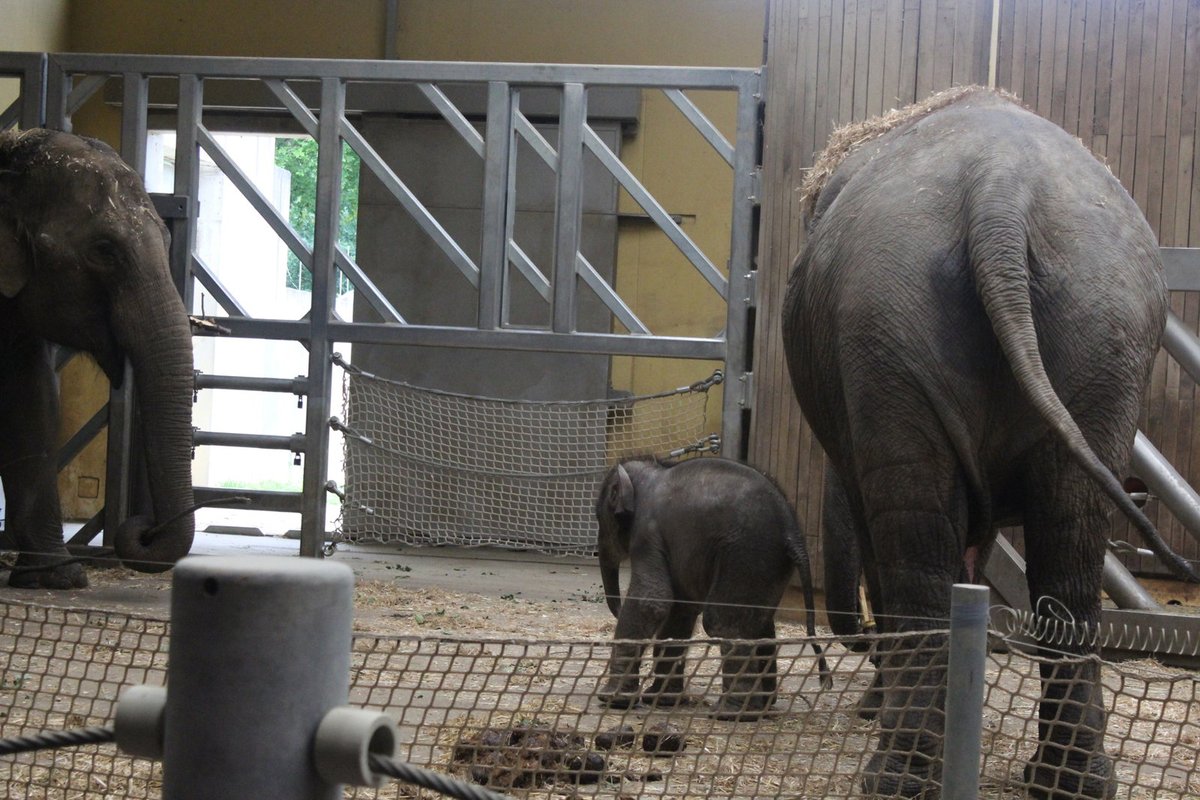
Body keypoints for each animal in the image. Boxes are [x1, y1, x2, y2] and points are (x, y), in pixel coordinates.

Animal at [595, 453, 830, 724]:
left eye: (600, 519)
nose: (615, 609)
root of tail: (792, 531)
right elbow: (679, 611)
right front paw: (661, 700)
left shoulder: (647, 533)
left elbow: (651, 602)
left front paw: (613, 701)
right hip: (769, 564)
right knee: (760, 622)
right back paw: (763, 708)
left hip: (746, 552)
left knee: (723, 621)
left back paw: (732, 713)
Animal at [782, 87, 1195, 800]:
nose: (851, 648)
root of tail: (1000, 193)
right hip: (1100, 334)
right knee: (1070, 546)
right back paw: (1070, 780)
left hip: (884, 334)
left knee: (913, 545)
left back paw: (898, 775)